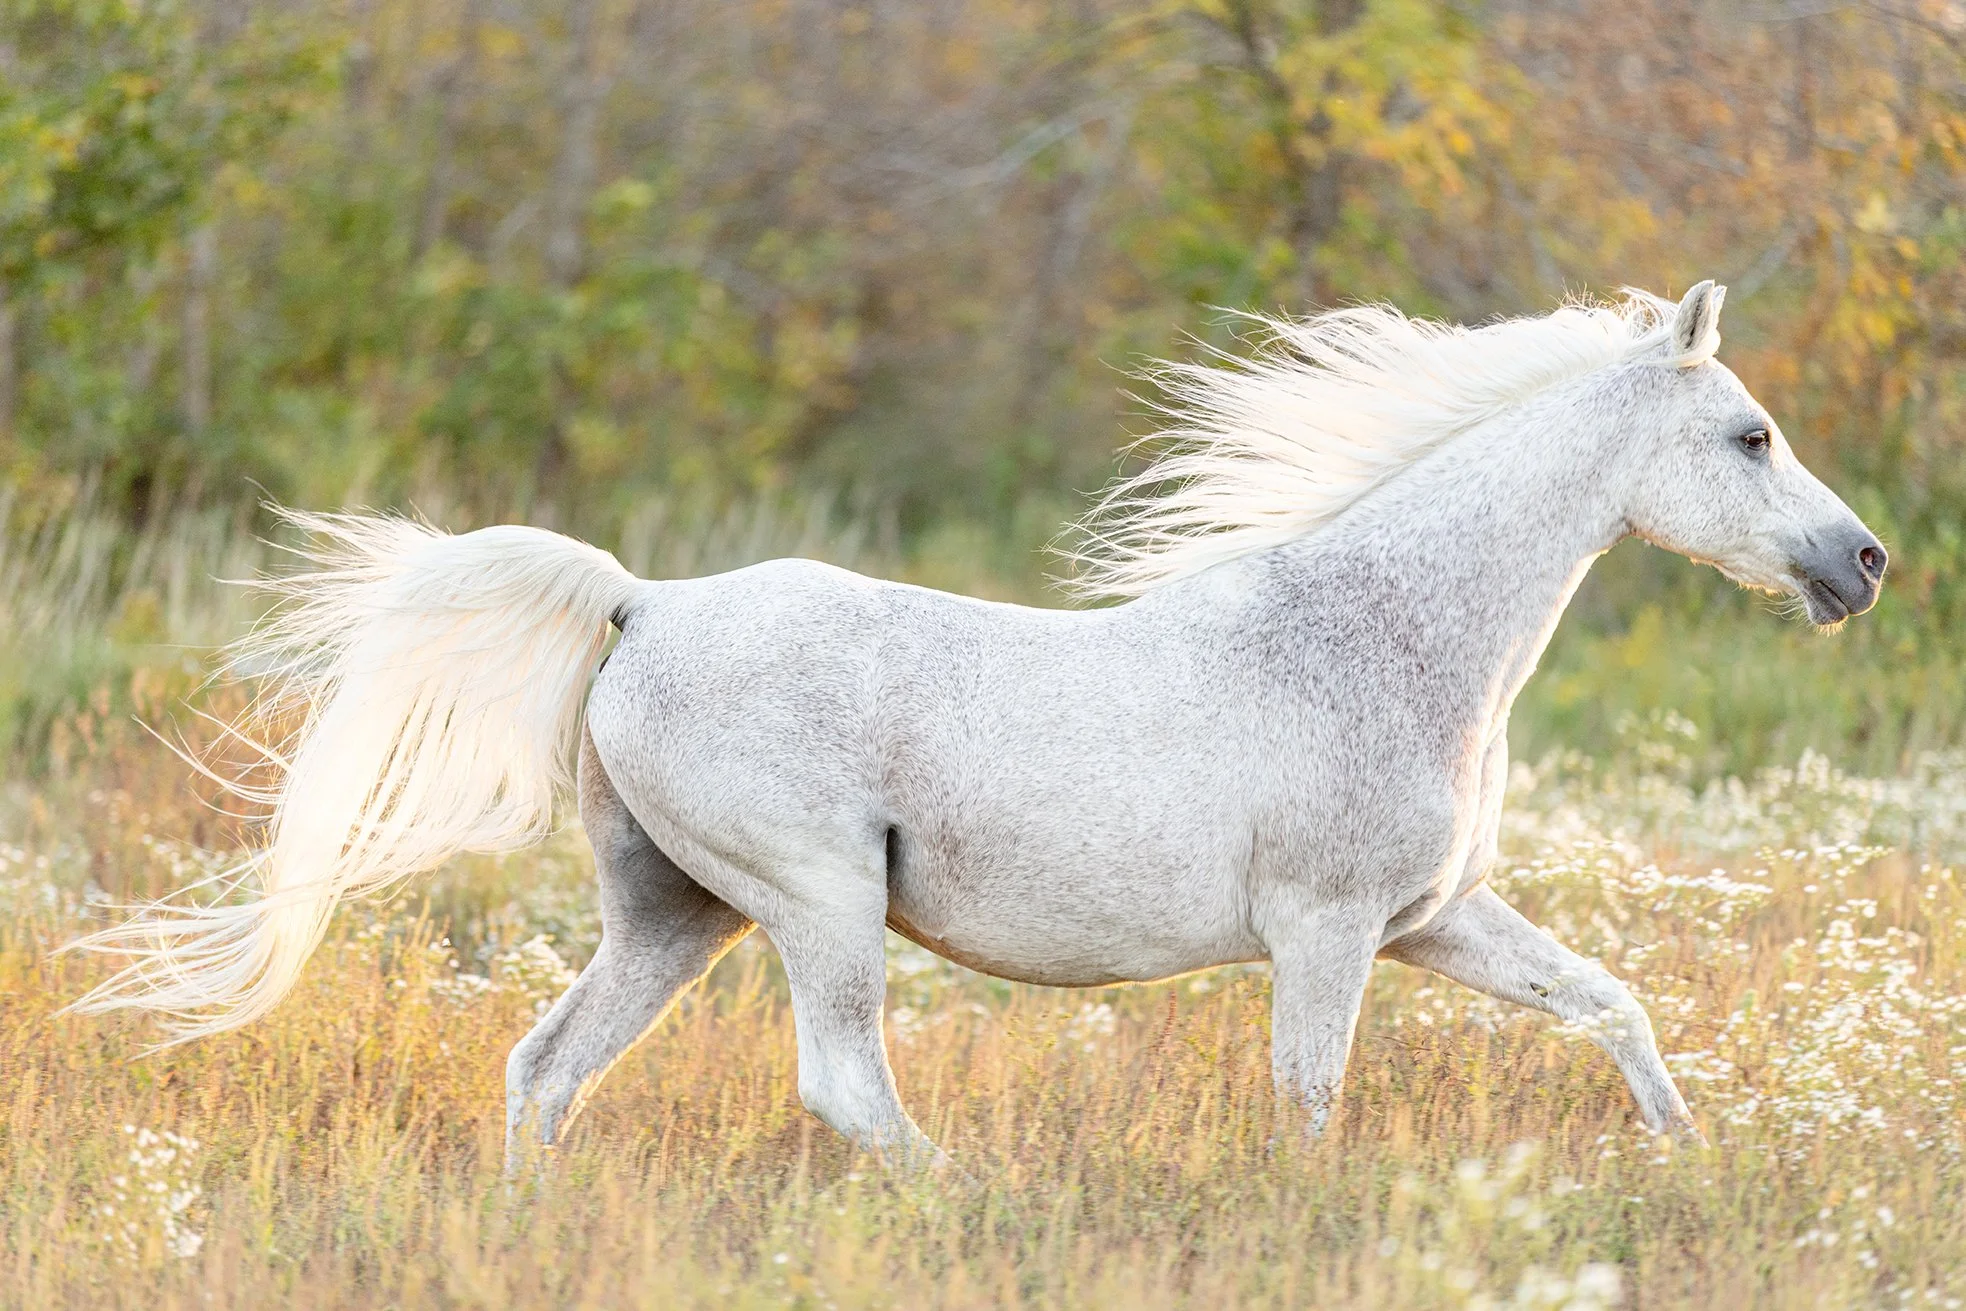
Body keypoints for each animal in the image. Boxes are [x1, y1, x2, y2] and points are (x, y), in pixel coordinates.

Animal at [68, 280, 1887, 1166]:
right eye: (1749, 433)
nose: (1859, 562)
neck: (1381, 632)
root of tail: (642, 602)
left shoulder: (1429, 920)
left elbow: (1608, 1004)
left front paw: (1687, 1157)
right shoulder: (1326, 932)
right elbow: (1310, 1104)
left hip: (674, 916)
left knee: (543, 1067)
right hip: (815, 904)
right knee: (847, 1091)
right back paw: (965, 1201)